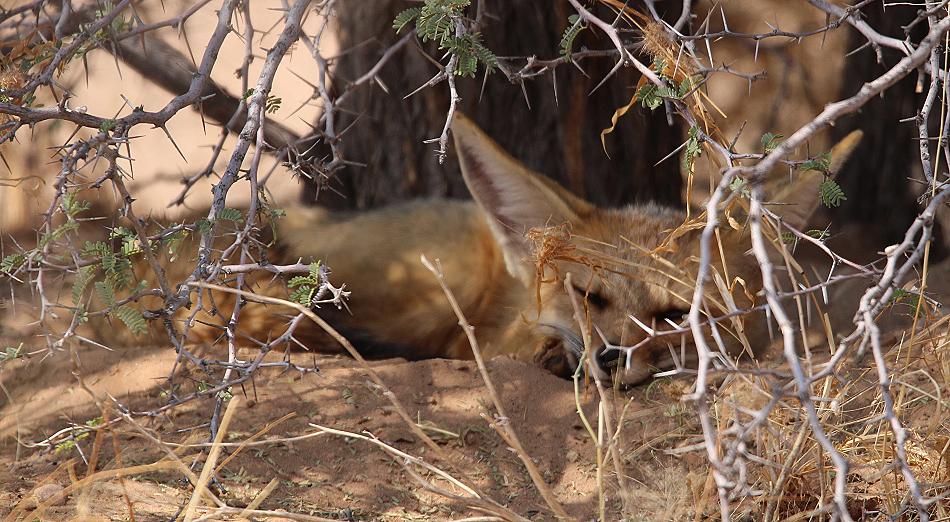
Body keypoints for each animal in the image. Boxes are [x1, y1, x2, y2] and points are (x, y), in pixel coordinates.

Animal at [93, 112, 860, 382]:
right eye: (588, 296)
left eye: (678, 316)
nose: (612, 357)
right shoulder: (495, 335)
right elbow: (515, 348)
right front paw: (555, 355)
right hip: (438, 282)